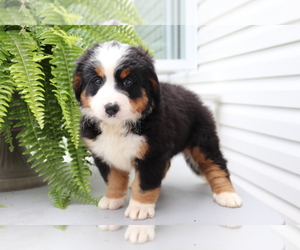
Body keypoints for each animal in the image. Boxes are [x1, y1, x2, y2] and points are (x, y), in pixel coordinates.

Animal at [74, 41, 243, 221]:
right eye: (97, 81)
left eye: (128, 82)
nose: (111, 108)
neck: (117, 126)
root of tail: (194, 96)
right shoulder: (104, 154)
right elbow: (113, 179)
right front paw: (113, 199)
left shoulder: (152, 154)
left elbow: (146, 183)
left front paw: (139, 207)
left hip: (203, 141)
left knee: (216, 164)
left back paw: (227, 194)